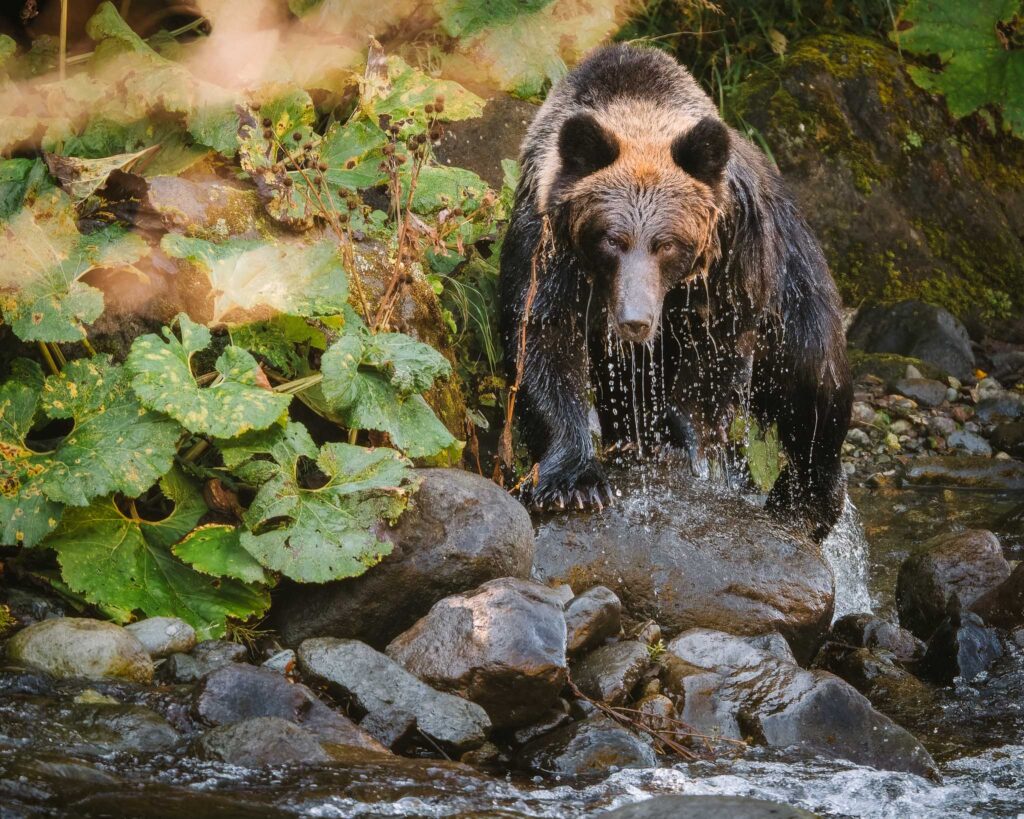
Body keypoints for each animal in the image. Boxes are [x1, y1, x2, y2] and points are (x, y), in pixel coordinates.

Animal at [499, 43, 852, 542]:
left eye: (666, 243)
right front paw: (575, 482)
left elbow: (715, 349)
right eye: (612, 239)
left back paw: (805, 501)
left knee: (814, 381)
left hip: (798, 286)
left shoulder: (732, 252)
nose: (635, 320)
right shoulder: (546, 244)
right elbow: (544, 338)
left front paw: (676, 437)